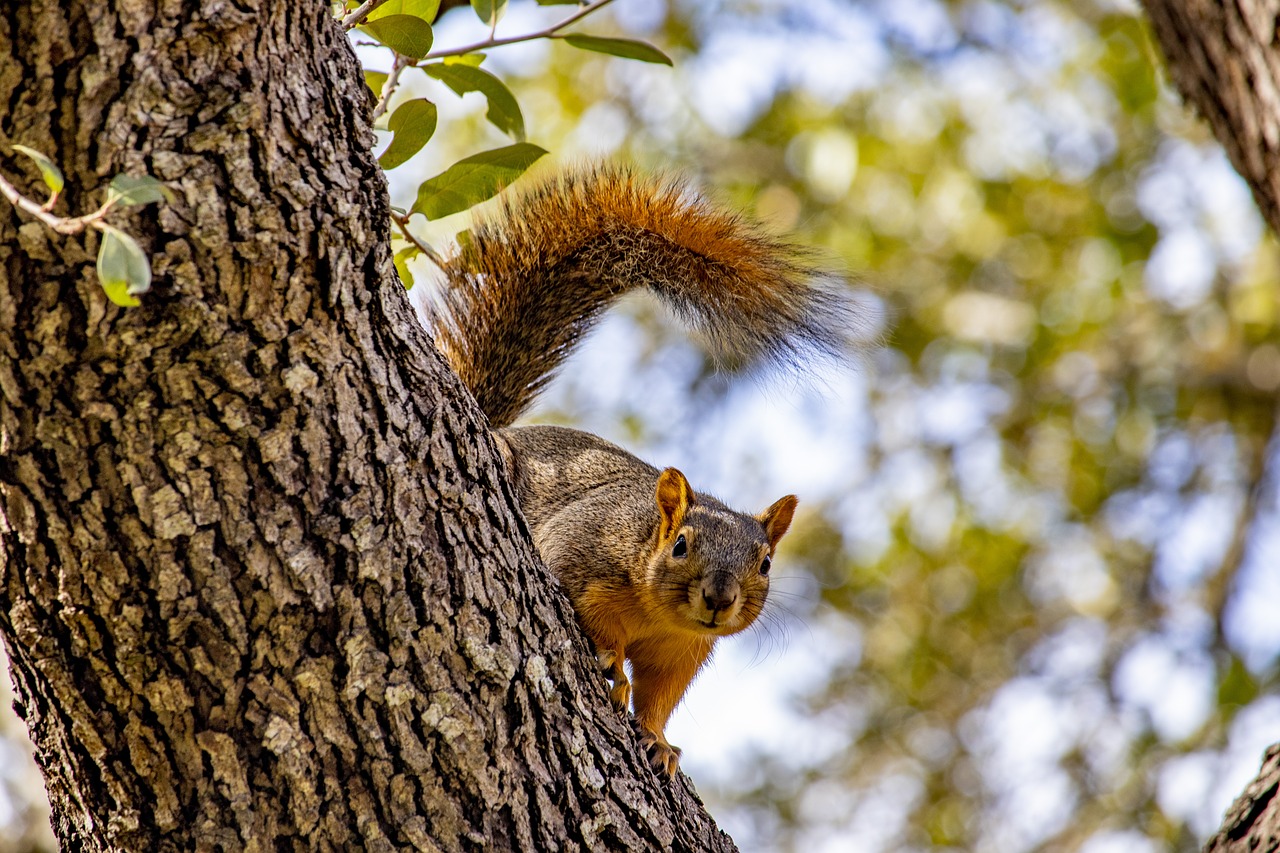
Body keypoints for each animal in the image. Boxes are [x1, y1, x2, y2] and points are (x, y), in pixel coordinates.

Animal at [430, 166, 849, 778]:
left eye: (766, 564)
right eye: (680, 545)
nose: (719, 598)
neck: (658, 614)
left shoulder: (682, 652)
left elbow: (661, 696)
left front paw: (658, 741)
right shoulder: (578, 553)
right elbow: (598, 624)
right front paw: (612, 665)